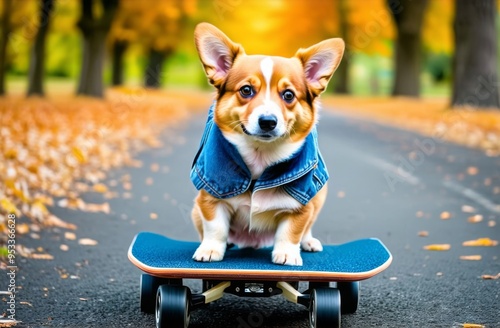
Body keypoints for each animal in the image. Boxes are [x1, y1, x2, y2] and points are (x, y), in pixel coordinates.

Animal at [188, 23, 344, 266]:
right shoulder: (210, 198)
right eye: (246, 90)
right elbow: (215, 228)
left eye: (288, 95)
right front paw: (211, 249)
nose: (268, 121)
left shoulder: (301, 205)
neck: (260, 155)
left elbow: (290, 232)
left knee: (307, 228)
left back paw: (308, 242)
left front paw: (287, 254)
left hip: (319, 196)